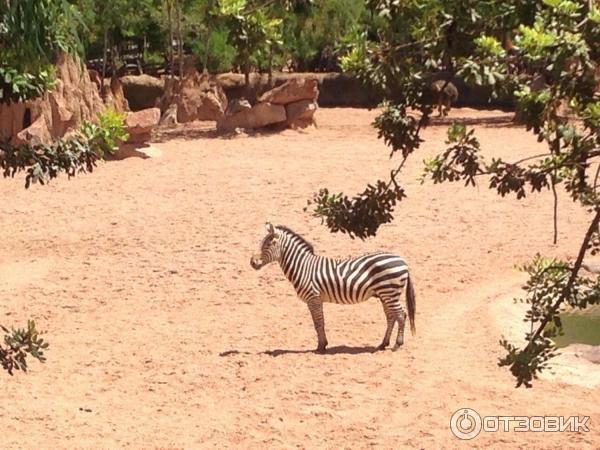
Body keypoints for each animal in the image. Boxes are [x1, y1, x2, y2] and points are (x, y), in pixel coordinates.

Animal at [251, 223, 414, 354]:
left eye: (268, 244)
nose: (252, 263)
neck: (303, 267)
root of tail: (402, 260)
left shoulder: (313, 298)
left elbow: (318, 323)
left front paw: (321, 347)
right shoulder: (316, 299)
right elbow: (319, 322)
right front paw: (322, 345)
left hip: (389, 292)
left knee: (401, 315)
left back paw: (397, 345)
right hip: (385, 294)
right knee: (391, 316)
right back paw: (383, 344)